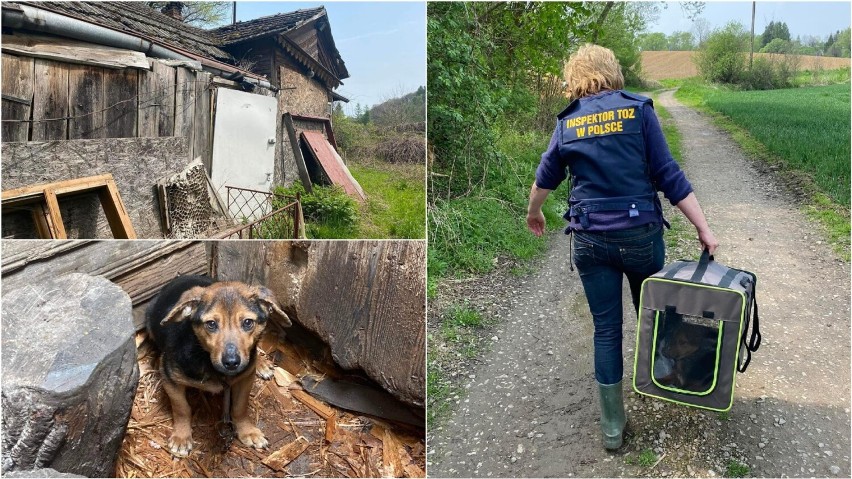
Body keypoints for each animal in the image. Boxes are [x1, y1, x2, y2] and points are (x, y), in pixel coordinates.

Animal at [146, 274, 290, 458]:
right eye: (211, 324)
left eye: (248, 322)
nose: (231, 362)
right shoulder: (170, 378)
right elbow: (181, 408)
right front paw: (181, 437)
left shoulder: (245, 379)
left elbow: (240, 407)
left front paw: (248, 431)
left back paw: (261, 363)